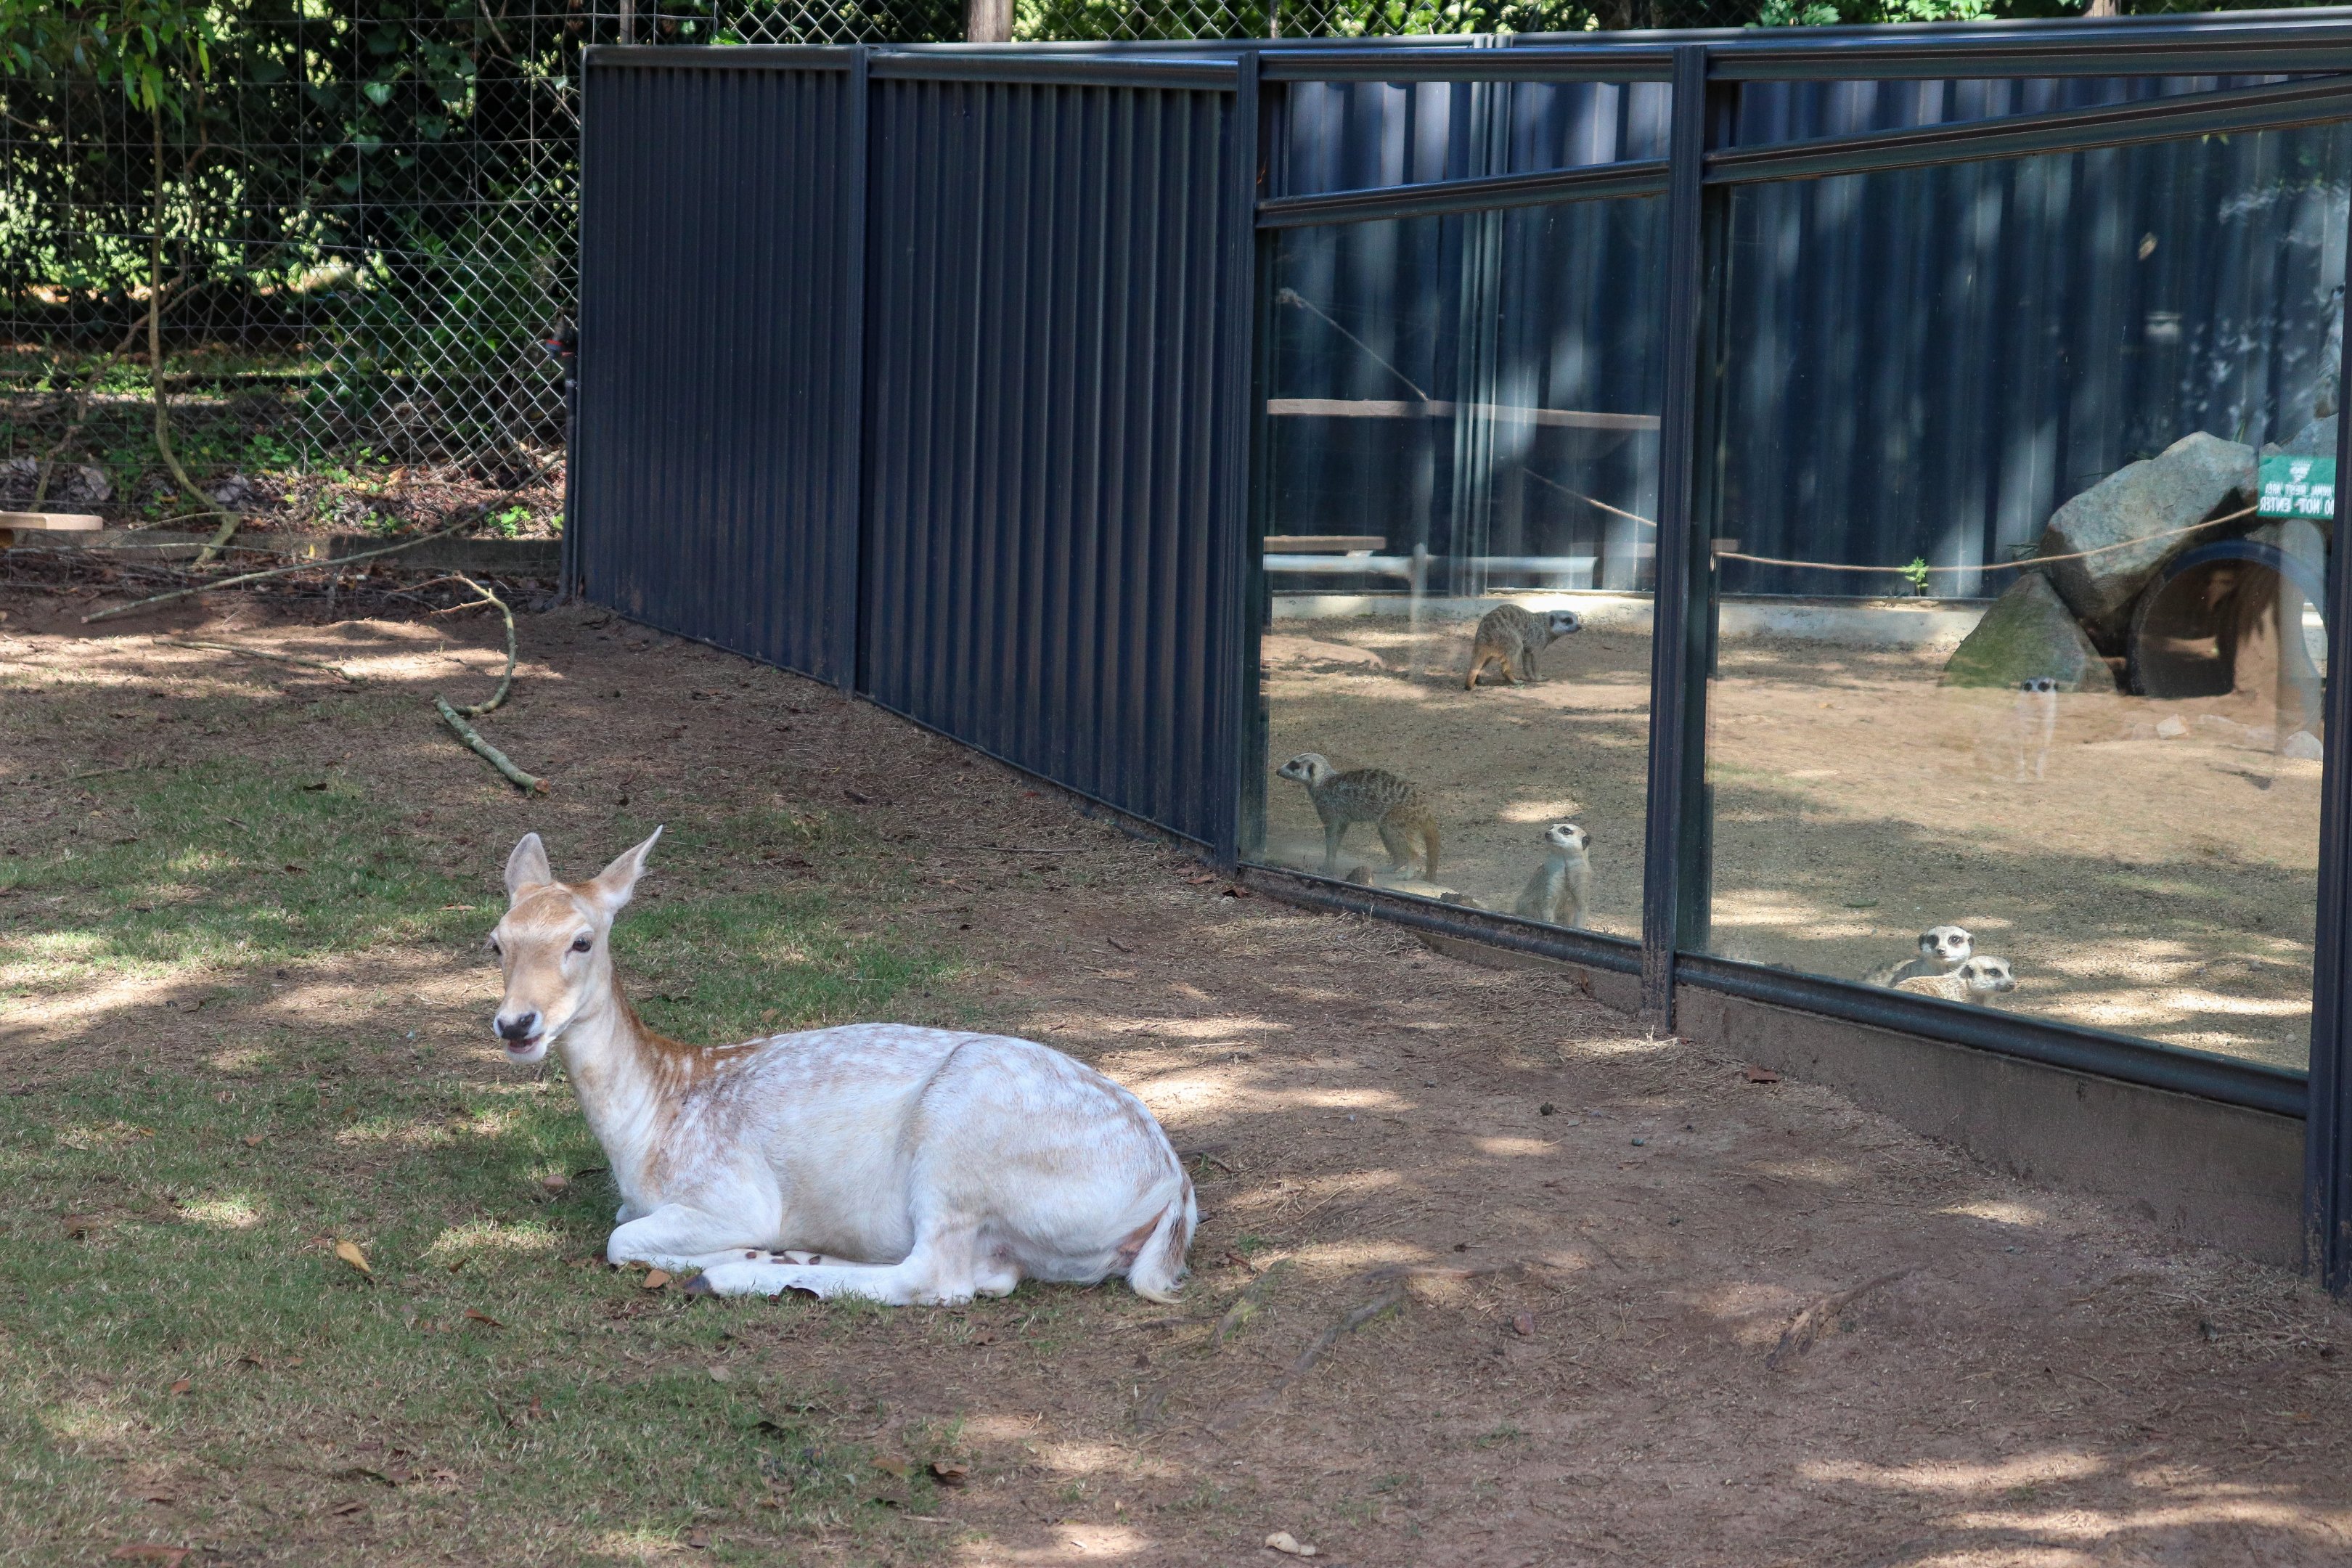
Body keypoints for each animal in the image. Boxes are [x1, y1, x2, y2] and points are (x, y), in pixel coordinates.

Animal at [485, 828, 1195, 1304]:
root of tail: (1171, 1194)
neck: (649, 1127)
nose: (517, 1024)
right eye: (497, 941)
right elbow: (620, 1226)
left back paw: (733, 1271)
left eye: (581, 940)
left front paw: (739, 1249)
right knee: (990, 1276)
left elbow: (619, 1240)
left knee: (937, 1277)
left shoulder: (728, 1191)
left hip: (961, 1145)